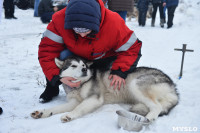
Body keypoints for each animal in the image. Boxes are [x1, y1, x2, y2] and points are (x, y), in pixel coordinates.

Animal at [30, 56, 178, 122]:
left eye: (83, 65)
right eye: (73, 66)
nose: (84, 69)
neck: (80, 85)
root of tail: (173, 86)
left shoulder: (94, 98)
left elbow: (79, 108)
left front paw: (69, 115)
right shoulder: (73, 101)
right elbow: (55, 108)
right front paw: (42, 112)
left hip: (135, 84)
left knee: (157, 107)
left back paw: (148, 118)